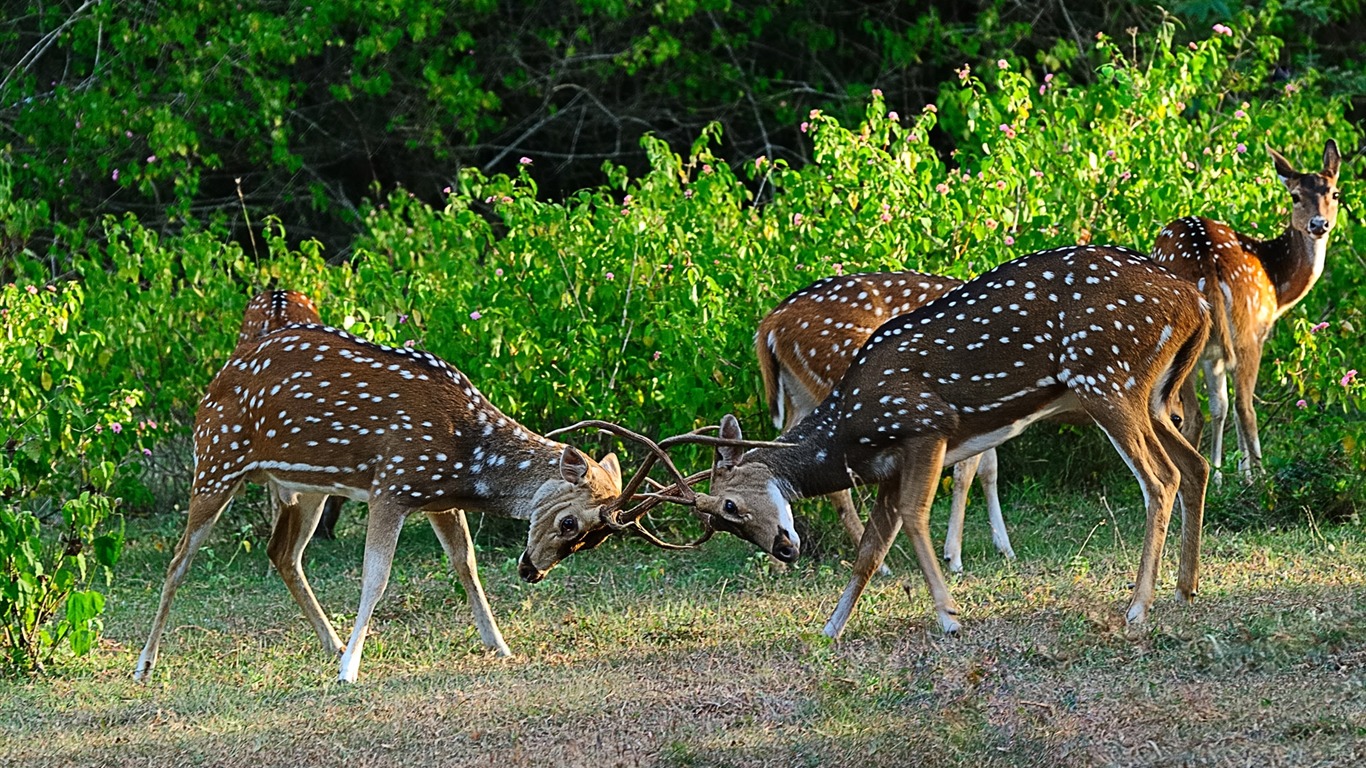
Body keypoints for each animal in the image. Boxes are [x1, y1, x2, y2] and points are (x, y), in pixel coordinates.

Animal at [130, 319, 622, 677]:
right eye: (570, 523)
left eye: (595, 539)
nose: (532, 571)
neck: (468, 456)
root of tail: (212, 384)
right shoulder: (393, 484)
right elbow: (376, 577)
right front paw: (350, 670)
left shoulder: (437, 497)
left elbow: (466, 563)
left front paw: (500, 646)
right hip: (216, 459)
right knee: (179, 560)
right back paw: (144, 664)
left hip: (308, 487)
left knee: (282, 552)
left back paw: (331, 643)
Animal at [759, 271, 1016, 571]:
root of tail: (769, 324)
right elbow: (966, 472)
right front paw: (954, 557)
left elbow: (989, 468)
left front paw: (1005, 548)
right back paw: (879, 563)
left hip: (801, 396)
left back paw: (778, 562)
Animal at [1152, 140, 1344, 475]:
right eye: (1295, 196)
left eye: (1334, 193)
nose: (1319, 224)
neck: (1278, 284)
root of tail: (1207, 261)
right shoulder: (1256, 333)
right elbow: (1230, 406)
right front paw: (1241, 472)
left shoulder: (1214, 351)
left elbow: (1220, 407)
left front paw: (1222, 475)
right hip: (1245, 332)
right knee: (1238, 406)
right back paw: (1260, 477)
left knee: (1201, 410)